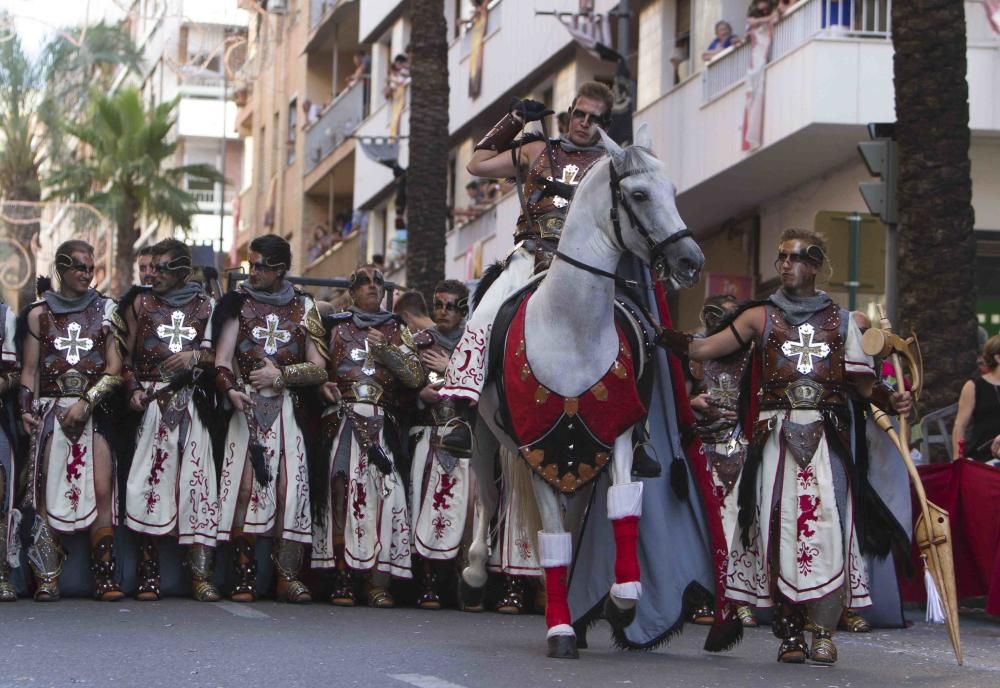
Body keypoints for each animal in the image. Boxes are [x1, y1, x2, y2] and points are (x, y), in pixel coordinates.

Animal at [458, 126, 704, 660]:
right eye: (639, 195)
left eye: (674, 192)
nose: (690, 261)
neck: (570, 329)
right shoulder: (535, 449)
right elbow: (548, 533)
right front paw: (560, 631)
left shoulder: (614, 436)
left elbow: (623, 505)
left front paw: (622, 602)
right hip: (488, 438)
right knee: (488, 495)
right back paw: (476, 570)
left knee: (571, 528)